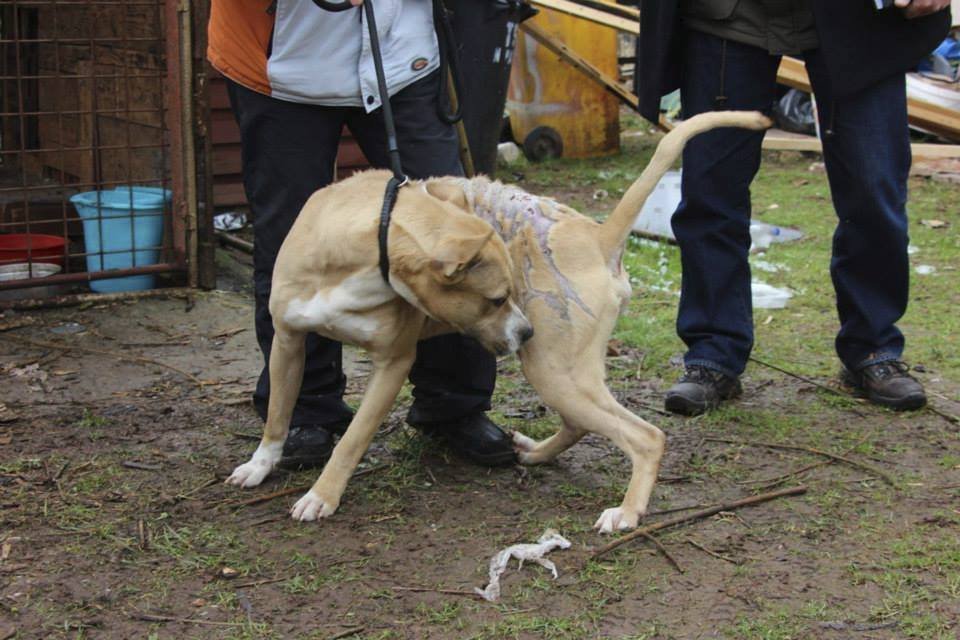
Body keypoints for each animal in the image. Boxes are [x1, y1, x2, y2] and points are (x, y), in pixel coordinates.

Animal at [227, 109, 772, 528]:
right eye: (494, 299)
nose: (524, 329)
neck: (373, 239)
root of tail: (598, 236)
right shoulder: (287, 340)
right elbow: (278, 414)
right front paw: (261, 465)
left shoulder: (392, 365)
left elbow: (353, 439)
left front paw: (322, 496)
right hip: (561, 371)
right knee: (582, 423)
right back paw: (538, 453)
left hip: (552, 369)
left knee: (645, 437)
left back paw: (627, 511)